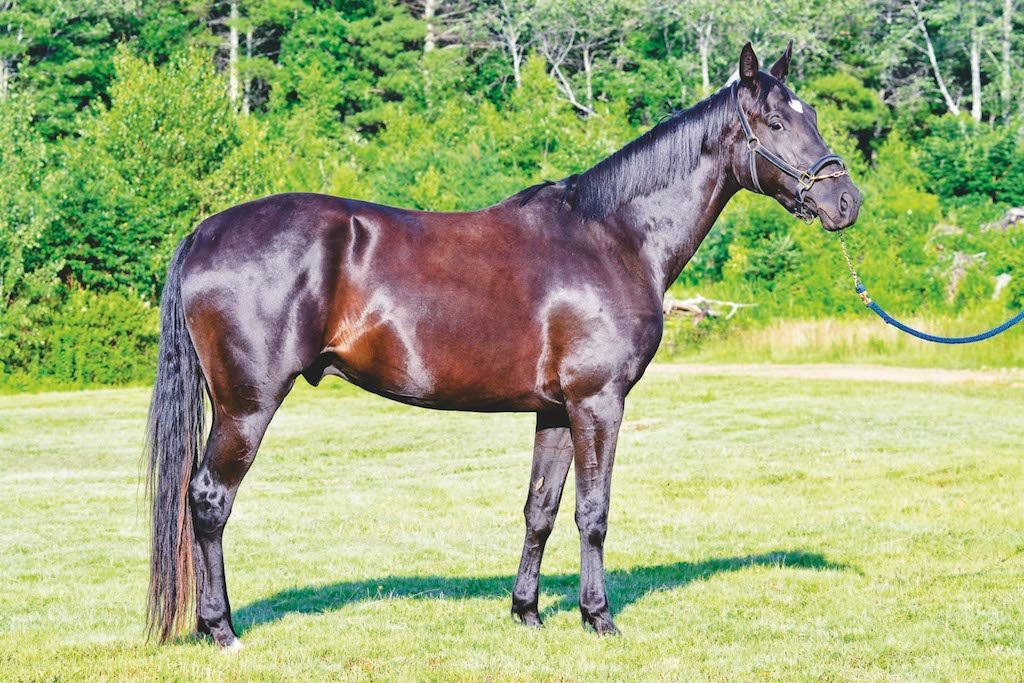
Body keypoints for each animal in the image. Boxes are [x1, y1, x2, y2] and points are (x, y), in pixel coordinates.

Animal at [148, 42, 860, 651]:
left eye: (813, 115)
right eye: (774, 121)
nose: (845, 200)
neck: (612, 237)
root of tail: (205, 232)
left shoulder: (556, 410)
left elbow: (540, 509)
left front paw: (527, 612)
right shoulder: (598, 403)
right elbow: (593, 511)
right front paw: (598, 618)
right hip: (247, 405)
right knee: (208, 499)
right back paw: (221, 630)